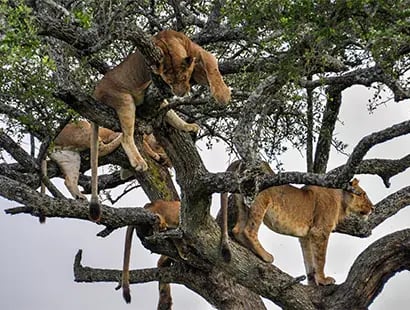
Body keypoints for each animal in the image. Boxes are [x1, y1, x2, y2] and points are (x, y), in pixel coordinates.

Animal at [90, 29, 231, 220]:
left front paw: (222, 92)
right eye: (168, 82)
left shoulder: (198, 57)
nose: (179, 93)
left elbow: (211, 66)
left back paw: (187, 127)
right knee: (127, 137)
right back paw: (139, 162)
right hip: (124, 101)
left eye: (184, 77)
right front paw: (223, 95)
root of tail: (96, 91)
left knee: (169, 116)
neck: (168, 43)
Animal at [229, 177, 374, 286]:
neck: (341, 202)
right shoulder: (320, 231)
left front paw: (313, 282)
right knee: (249, 230)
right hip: (260, 202)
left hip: (243, 207)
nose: (373, 208)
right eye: (363, 194)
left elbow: (309, 259)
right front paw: (323, 280)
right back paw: (265, 255)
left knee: (237, 229)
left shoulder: (306, 236)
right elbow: (320, 258)